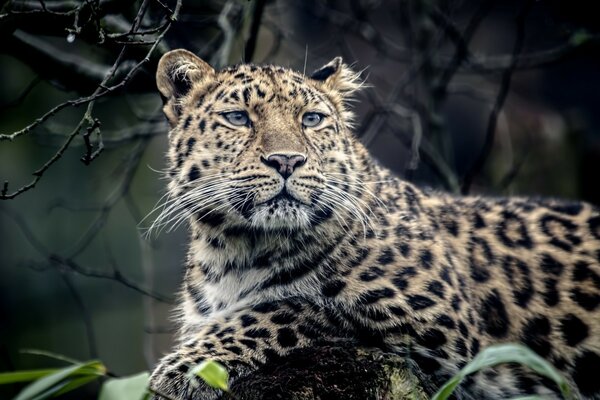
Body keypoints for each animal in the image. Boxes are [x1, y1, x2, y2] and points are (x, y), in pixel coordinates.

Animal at [149, 48, 600, 398]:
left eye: (311, 120)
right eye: (238, 117)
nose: (287, 161)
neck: (238, 248)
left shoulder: (440, 324)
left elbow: (287, 307)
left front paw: (184, 368)